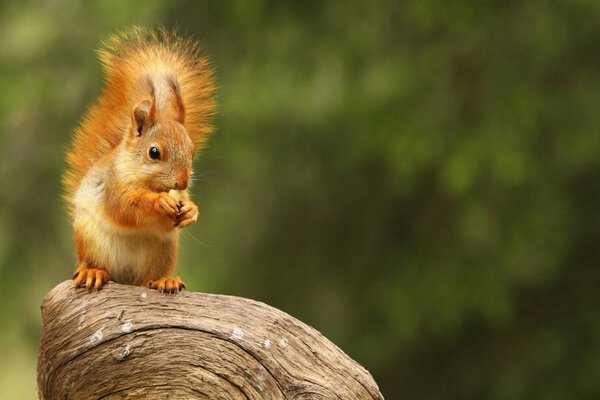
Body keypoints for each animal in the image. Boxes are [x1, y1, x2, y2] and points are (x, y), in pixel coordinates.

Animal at [63, 26, 217, 292]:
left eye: (192, 151)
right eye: (154, 152)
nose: (182, 182)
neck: (150, 183)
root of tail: (126, 279)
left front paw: (191, 210)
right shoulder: (113, 184)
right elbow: (126, 207)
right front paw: (159, 203)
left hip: (165, 250)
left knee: (149, 279)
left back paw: (164, 280)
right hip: (90, 240)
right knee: (92, 262)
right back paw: (92, 271)